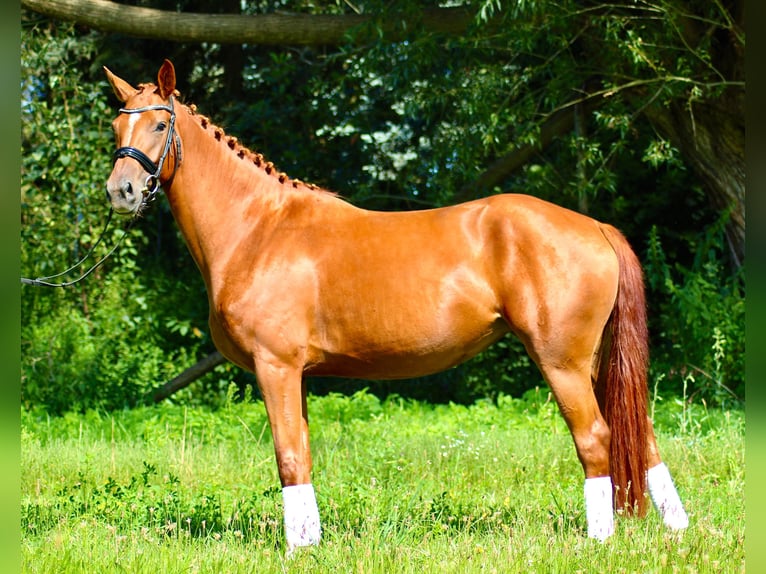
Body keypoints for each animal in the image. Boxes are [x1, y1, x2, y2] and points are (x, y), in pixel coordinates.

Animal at [103, 60, 688, 552]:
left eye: (160, 125)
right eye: (115, 129)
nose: (122, 191)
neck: (259, 230)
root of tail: (595, 226)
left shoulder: (276, 367)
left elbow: (288, 457)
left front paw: (297, 551)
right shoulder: (297, 375)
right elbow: (303, 453)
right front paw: (311, 541)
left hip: (562, 363)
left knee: (595, 439)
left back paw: (599, 540)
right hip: (597, 364)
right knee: (643, 438)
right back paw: (676, 529)